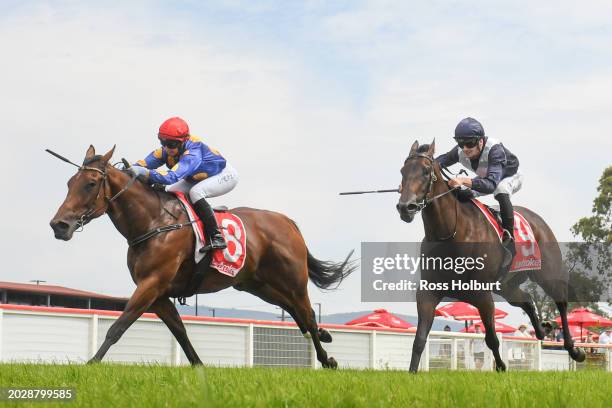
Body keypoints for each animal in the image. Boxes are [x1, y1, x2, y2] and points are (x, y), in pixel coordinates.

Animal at [50, 146, 356, 366]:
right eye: (69, 182)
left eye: (90, 183)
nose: (59, 225)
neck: (153, 222)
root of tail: (287, 221)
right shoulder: (158, 293)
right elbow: (180, 332)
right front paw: (199, 366)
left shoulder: (152, 284)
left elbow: (119, 326)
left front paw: (91, 364)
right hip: (257, 284)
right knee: (295, 310)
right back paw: (324, 335)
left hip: (292, 280)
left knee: (306, 311)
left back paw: (327, 359)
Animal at [394, 141, 584, 372]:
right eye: (403, 171)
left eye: (425, 171)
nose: (406, 207)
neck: (450, 234)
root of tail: (538, 220)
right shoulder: (428, 293)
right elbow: (420, 339)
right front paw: (412, 373)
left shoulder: (482, 295)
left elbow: (492, 339)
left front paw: (501, 367)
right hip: (506, 285)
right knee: (527, 300)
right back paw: (542, 329)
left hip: (547, 274)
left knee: (561, 303)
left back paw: (574, 350)